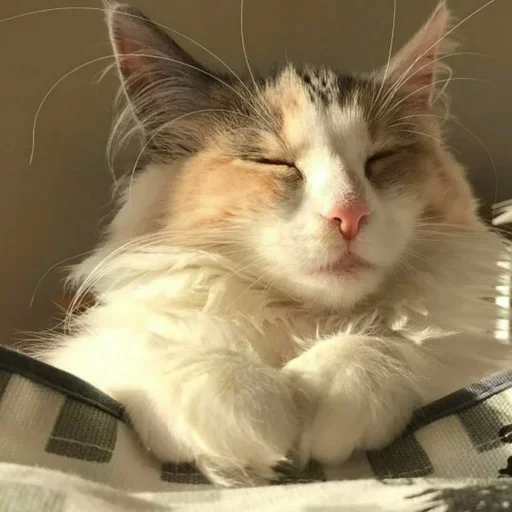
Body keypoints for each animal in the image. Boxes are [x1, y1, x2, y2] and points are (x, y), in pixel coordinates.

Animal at [38, 1, 512, 487]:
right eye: (273, 162)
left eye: (380, 158)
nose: (349, 215)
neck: (307, 321)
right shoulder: (84, 350)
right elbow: (146, 348)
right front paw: (246, 403)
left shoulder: (478, 347)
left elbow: (406, 341)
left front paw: (337, 380)